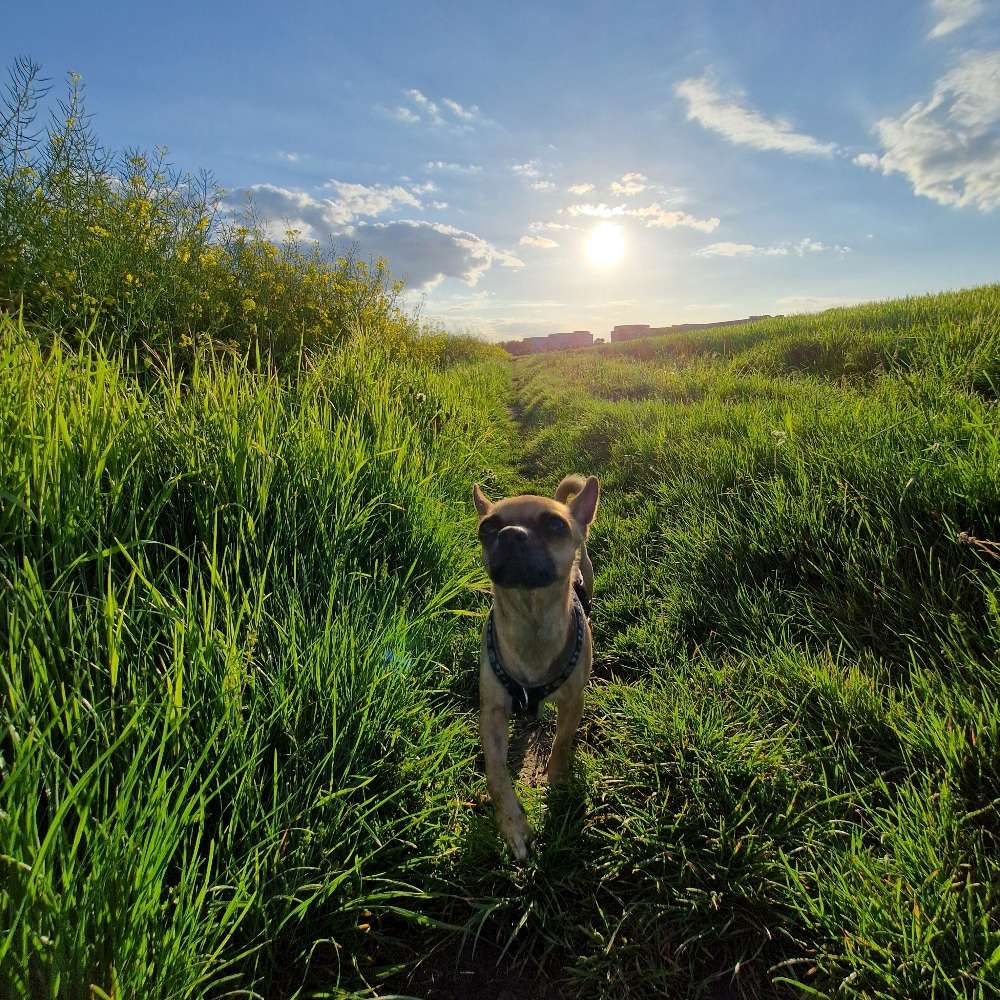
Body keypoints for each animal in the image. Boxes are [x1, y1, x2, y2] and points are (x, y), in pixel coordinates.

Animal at [472, 474, 596, 860]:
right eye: (487, 528)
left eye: (555, 525)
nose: (510, 533)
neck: (531, 619)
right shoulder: (492, 713)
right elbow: (496, 774)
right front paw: (513, 825)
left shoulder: (572, 702)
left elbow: (562, 743)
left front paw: (558, 780)